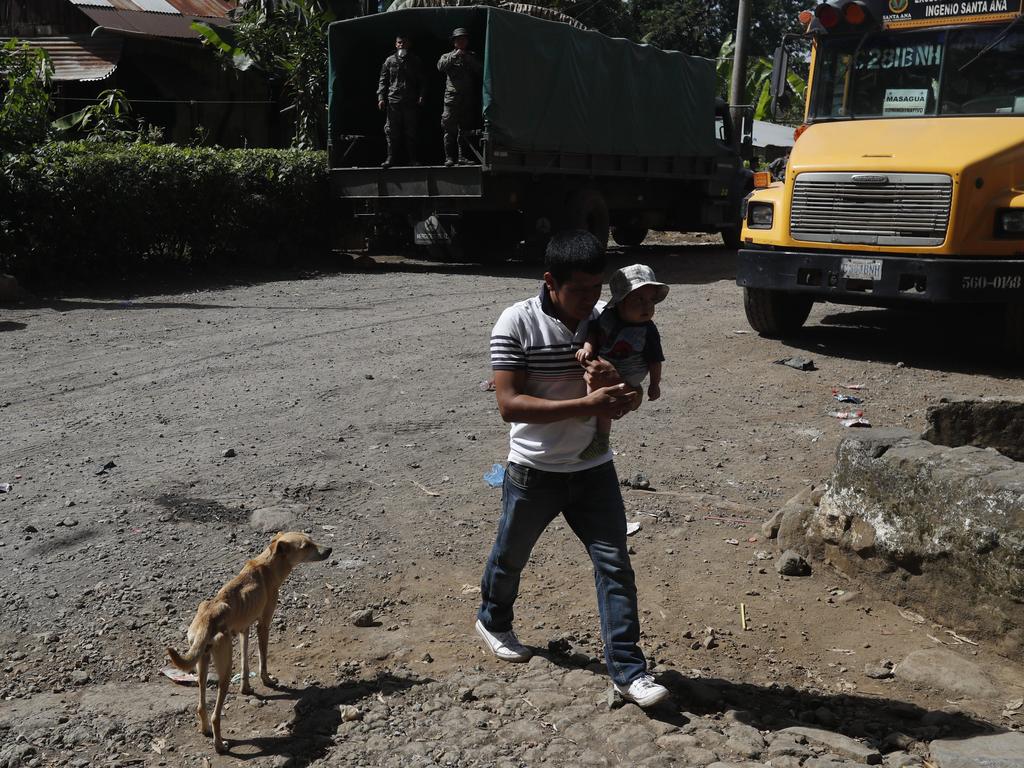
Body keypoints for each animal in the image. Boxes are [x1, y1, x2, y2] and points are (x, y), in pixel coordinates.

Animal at [164, 532, 331, 753]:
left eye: (311, 539)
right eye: (306, 546)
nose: (330, 550)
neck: (269, 564)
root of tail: (206, 619)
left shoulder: (244, 629)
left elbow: (245, 664)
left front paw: (246, 688)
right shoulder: (263, 624)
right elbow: (262, 659)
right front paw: (267, 680)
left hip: (203, 663)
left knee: (201, 706)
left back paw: (206, 730)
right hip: (224, 670)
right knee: (216, 715)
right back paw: (220, 744)